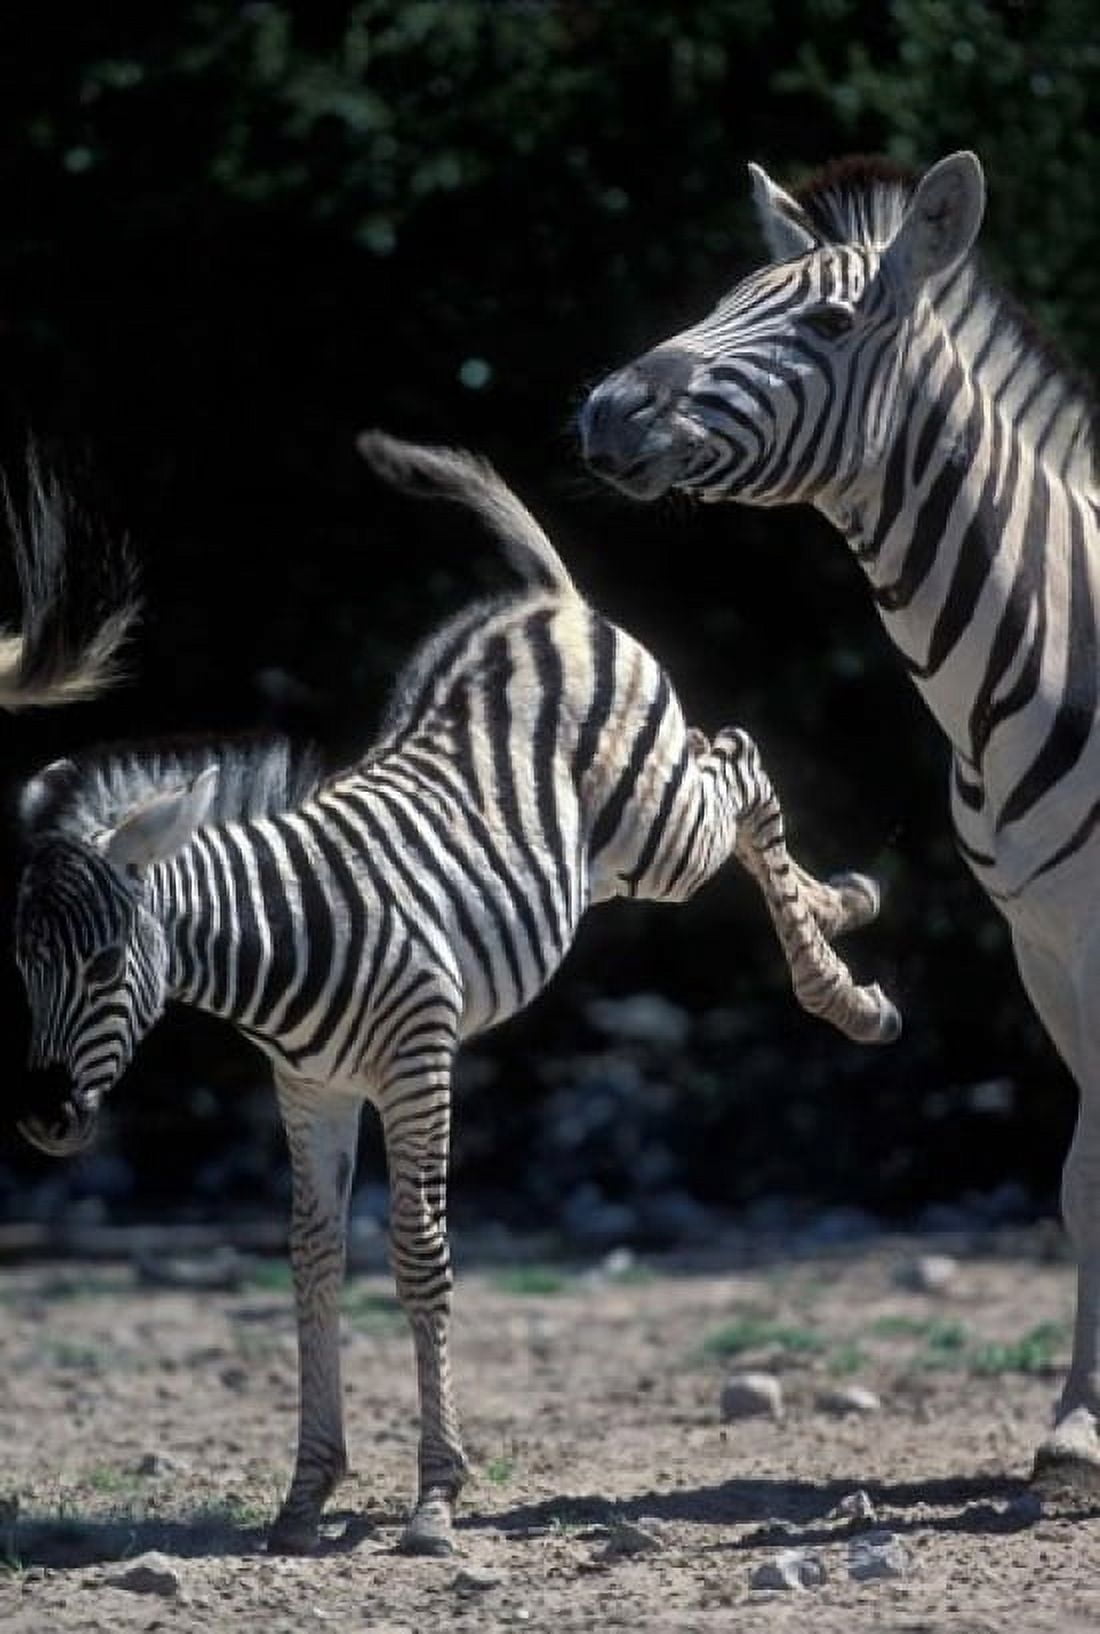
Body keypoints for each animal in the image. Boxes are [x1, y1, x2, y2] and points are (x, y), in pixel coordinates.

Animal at [14, 431, 899, 1556]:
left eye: (102, 963)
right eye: (21, 966)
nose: (43, 1120)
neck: (282, 942)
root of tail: (544, 603)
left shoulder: (416, 1060)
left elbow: (418, 1255)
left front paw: (435, 1496)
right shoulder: (312, 1090)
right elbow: (311, 1260)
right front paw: (306, 1493)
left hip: (657, 832)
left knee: (737, 765)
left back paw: (843, 981)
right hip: (612, 855)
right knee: (721, 761)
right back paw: (844, 904)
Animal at [579, 148, 1100, 1491]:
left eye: (822, 324)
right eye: (723, 297)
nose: (604, 411)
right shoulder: (1044, 940)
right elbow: (1083, 1177)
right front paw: (1075, 1424)